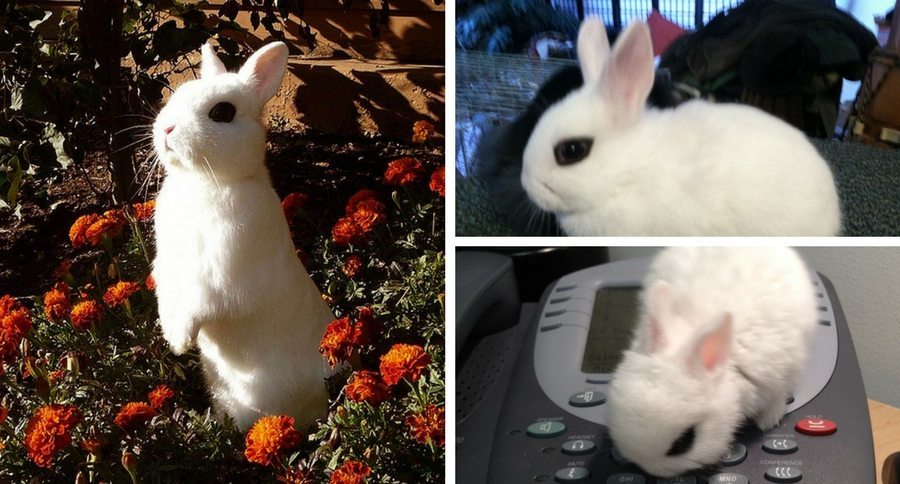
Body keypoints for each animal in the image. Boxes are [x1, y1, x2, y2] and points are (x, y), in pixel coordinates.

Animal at [151, 41, 335, 431]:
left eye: (223, 112)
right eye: (179, 95)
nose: (167, 129)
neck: (207, 181)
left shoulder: (222, 277)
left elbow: (198, 303)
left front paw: (178, 340)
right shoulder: (167, 267)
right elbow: (167, 294)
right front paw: (170, 332)